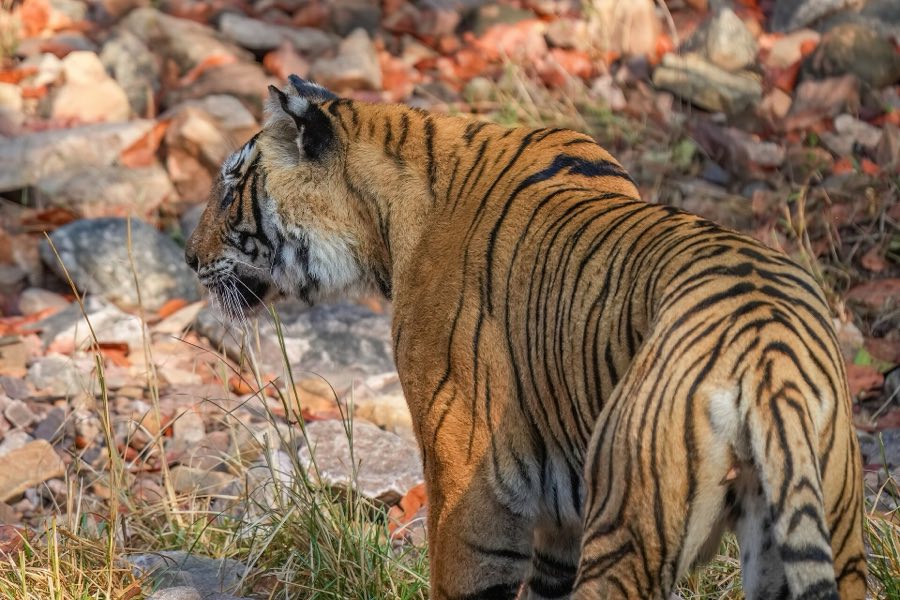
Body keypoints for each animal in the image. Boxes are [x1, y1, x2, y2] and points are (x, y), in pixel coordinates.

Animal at [185, 75, 867, 599]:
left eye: (231, 185)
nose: (190, 259)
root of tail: (767, 355)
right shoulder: (561, 508)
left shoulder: (467, 476)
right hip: (831, 527)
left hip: (628, 522)